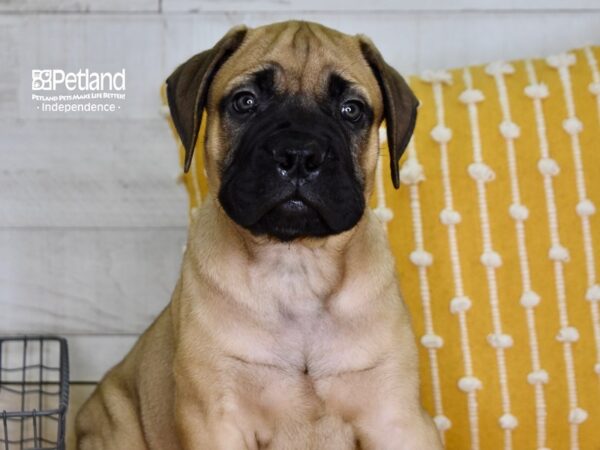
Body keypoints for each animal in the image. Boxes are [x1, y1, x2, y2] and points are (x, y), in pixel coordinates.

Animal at [74, 20, 440, 450]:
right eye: (245, 102)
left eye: (352, 110)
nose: (299, 154)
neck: (295, 268)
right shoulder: (217, 416)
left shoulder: (396, 419)